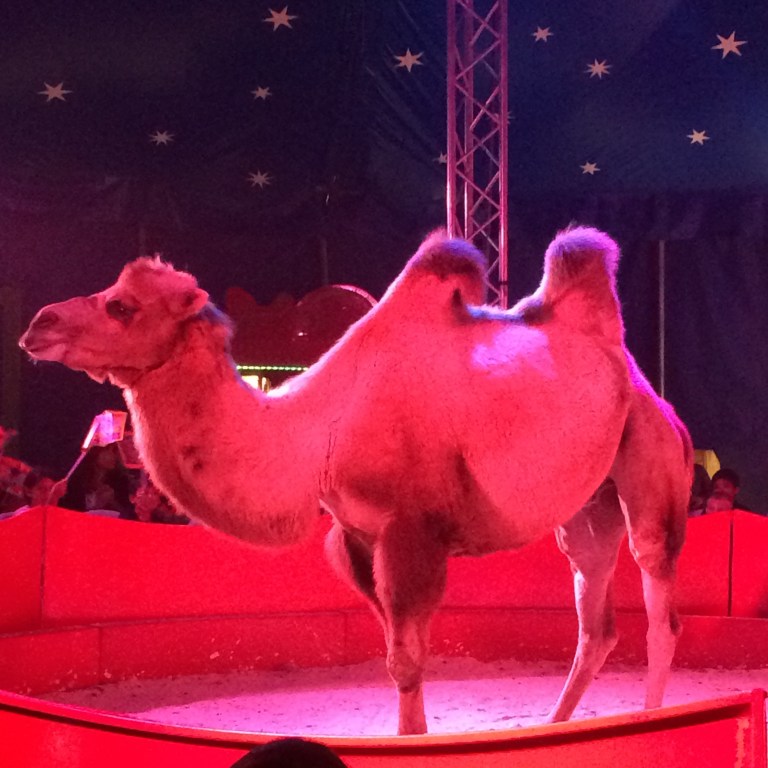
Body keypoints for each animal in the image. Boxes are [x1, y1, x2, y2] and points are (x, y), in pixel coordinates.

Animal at [20, 226, 691, 735]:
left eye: (121, 307)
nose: (38, 324)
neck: (316, 434)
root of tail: (633, 371)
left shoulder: (411, 533)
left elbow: (408, 662)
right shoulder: (357, 539)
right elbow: (397, 657)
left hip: (651, 463)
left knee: (659, 602)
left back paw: (650, 721)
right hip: (588, 506)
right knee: (595, 617)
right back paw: (554, 725)